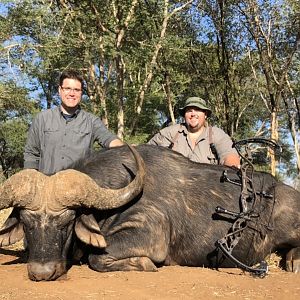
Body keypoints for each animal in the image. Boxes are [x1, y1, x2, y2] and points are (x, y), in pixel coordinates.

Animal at [0, 144, 300, 280]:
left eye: (67, 221)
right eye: (27, 223)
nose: (41, 272)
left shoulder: (148, 235)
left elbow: (98, 258)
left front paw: (144, 264)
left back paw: (292, 262)